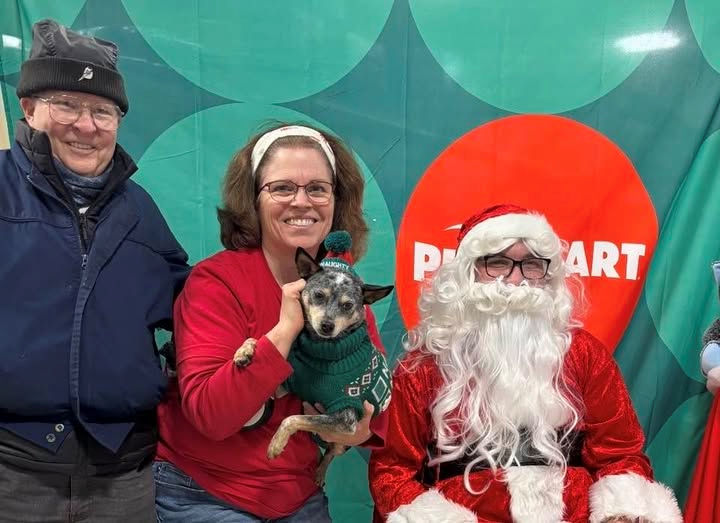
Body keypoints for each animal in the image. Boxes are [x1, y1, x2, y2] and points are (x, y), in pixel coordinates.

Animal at [233, 239, 393, 485]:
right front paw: (244, 352)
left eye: (348, 305)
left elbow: (292, 418)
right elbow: (258, 338)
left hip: (341, 441)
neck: (322, 349)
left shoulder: (345, 418)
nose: (327, 326)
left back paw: (319, 473)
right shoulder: (284, 385)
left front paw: (276, 444)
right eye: (318, 295)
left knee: (330, 453)